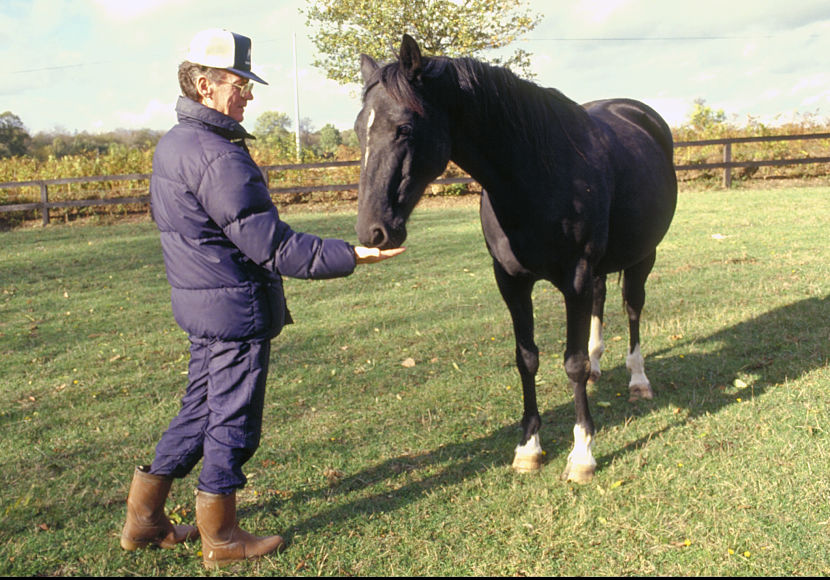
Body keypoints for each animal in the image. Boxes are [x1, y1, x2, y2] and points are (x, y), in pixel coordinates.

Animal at [354, 34, 680, 482]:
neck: (536, 176)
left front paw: (582, 454)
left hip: (643, 257)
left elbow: (572, 363)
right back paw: (601, 366)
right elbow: (526, 359)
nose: (372, 232)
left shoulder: (575, 278)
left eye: (404, 127)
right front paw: (529, 447)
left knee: (633, 309)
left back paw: (638, 379)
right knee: (601, 301)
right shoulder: (511, 281)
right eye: (359, 131)